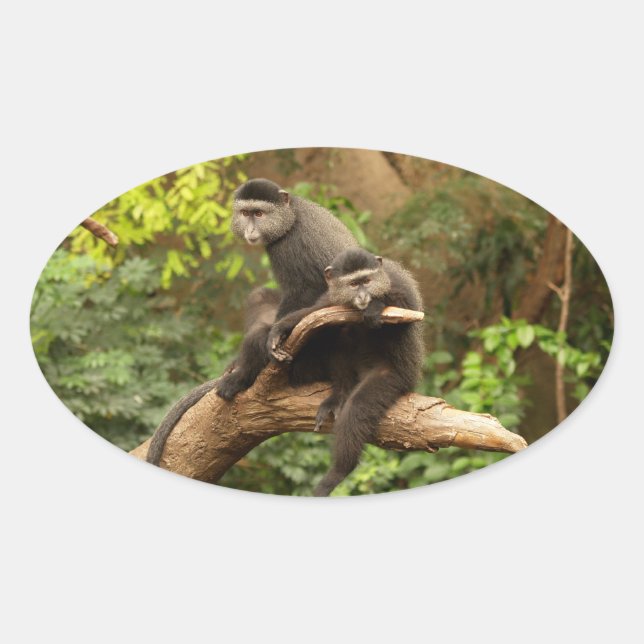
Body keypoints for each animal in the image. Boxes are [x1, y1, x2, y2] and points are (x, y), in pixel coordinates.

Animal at [146, 178, 357, 465]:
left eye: (259, 214)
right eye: (246, 213)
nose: (250, 229)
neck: (290, 216)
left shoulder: (289, 247)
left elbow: (306, 291)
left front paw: (272, 340)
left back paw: (244, 375)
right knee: (259, 297)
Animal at [266, 248, 425, 496]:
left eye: (367, 281)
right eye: (353, 284)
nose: (363, 297)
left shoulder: (396, 285)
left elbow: (405, 310)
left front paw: (375, 306)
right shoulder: (332, 296)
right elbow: (315, 311)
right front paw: (280, 329)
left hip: (395, 377)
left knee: (357, 409)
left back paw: (339, 471)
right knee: (338, 332)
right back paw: (339, 395)